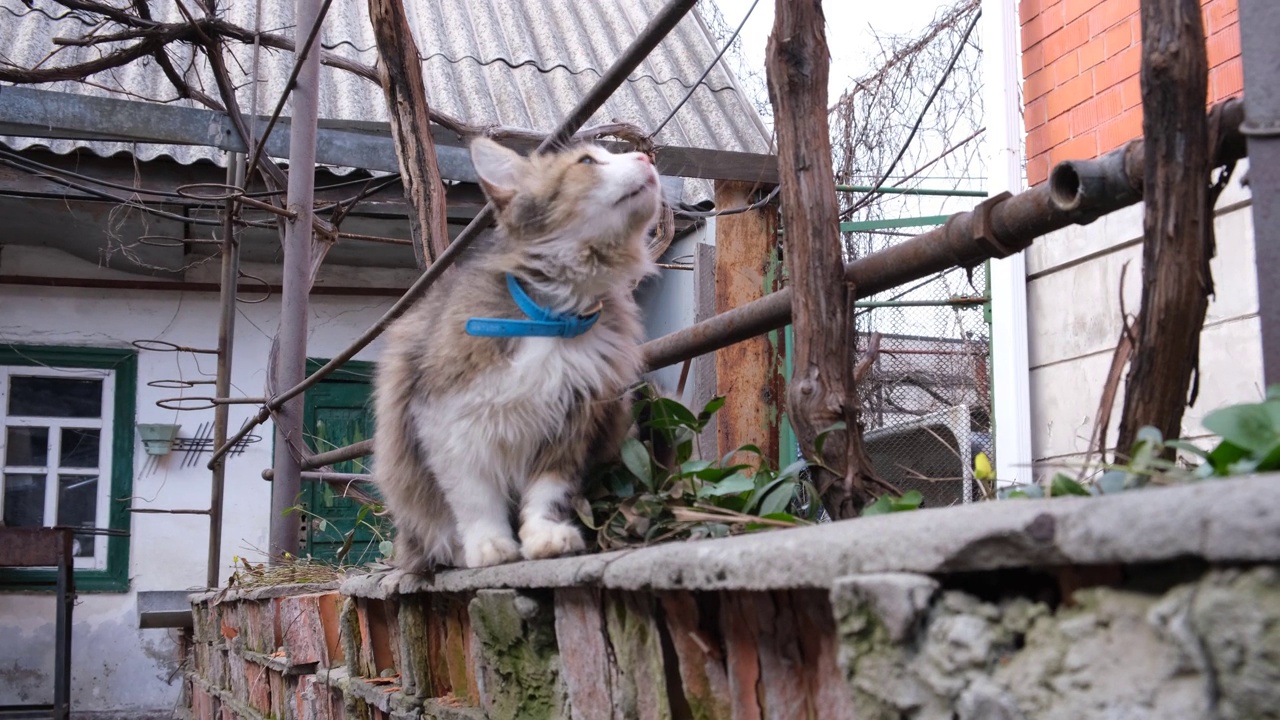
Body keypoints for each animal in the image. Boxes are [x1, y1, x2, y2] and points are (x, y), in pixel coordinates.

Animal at [373, 137, 660, 568]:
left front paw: (543, 537)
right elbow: (475, 498)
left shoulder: (571, 423)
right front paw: (488, 545)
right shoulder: (445, 421)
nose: (646, 156)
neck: (551, 318)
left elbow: (546, 493)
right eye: (587, 161)